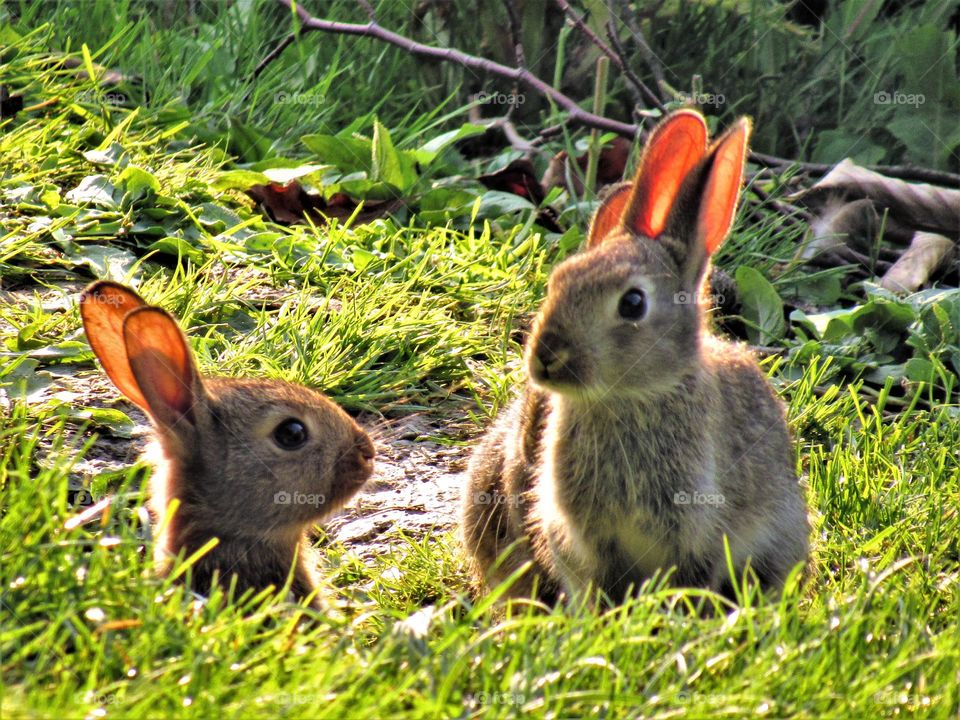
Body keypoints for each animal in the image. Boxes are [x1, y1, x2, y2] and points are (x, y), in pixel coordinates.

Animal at [464, 109, 808, 604]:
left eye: (632, 304)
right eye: (560, 279)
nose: (547, 356)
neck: (631, 396)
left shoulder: (696, 528)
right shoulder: (589, 538)